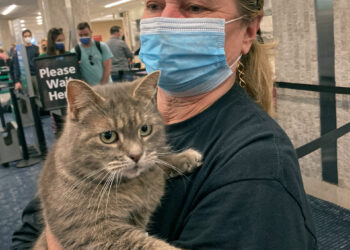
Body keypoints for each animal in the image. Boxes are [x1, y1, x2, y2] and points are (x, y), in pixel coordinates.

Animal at [33, 71, 202, 249]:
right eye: (108, 136)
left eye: (145, 129)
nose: (136, 155)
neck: (134, 184)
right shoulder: (92, 230)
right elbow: (148, 244)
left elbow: (158, 160)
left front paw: (185, 157)